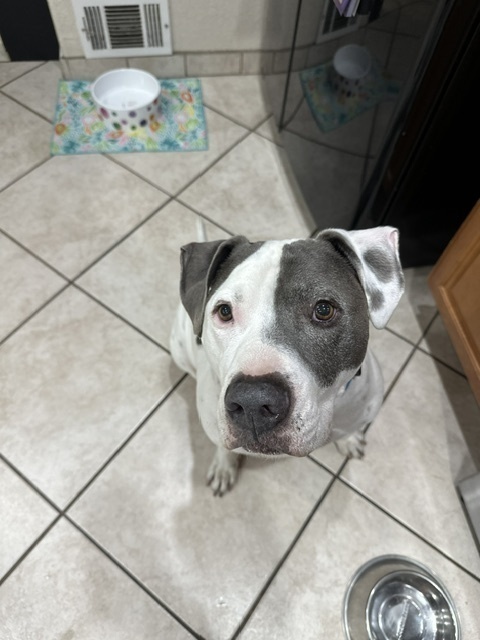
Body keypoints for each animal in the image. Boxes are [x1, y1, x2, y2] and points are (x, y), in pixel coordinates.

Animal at [171, 226, 404, 496]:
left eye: (324, 309)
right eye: (225, 311)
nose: (252, 401)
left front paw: (349, 440)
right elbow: (222, 447)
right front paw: (224, 466)